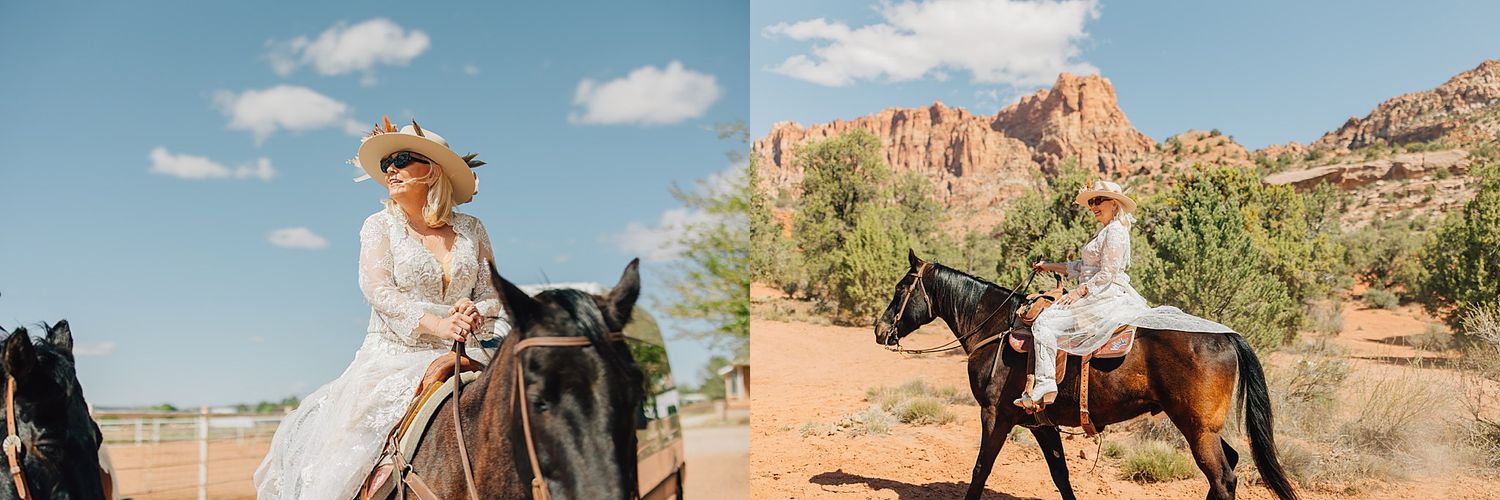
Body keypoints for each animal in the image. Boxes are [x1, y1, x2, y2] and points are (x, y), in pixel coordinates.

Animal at [873, 251, 1296, 500]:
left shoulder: (994, 415)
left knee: (1222, 478)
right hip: (1201, 426)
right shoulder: (1041, 424)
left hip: (1196, 427)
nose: (880, 330)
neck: (995, 327)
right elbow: (1060, 473)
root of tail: (1228, 334)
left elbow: (981, 470)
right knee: (1229, 467)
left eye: (901, 288)